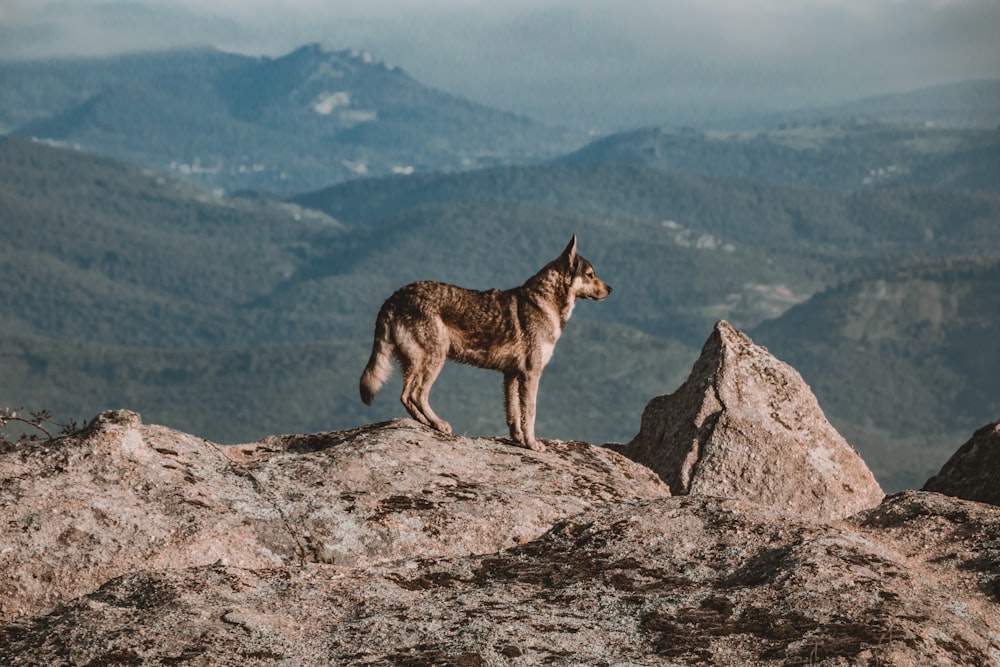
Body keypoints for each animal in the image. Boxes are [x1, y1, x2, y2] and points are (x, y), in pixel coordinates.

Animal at [360, 236, 608, 454]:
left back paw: (427, 423)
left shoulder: (511, 375)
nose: (611, 289)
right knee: (416, 394)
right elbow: (530, 414)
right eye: (590, 275)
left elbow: (513, 414)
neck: (546, 304)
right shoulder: (531, 374)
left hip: (416, 363)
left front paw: (518, 440)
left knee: (406, 396)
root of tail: (393, 298)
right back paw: (438, 423)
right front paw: (532, 444)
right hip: (435, 359)